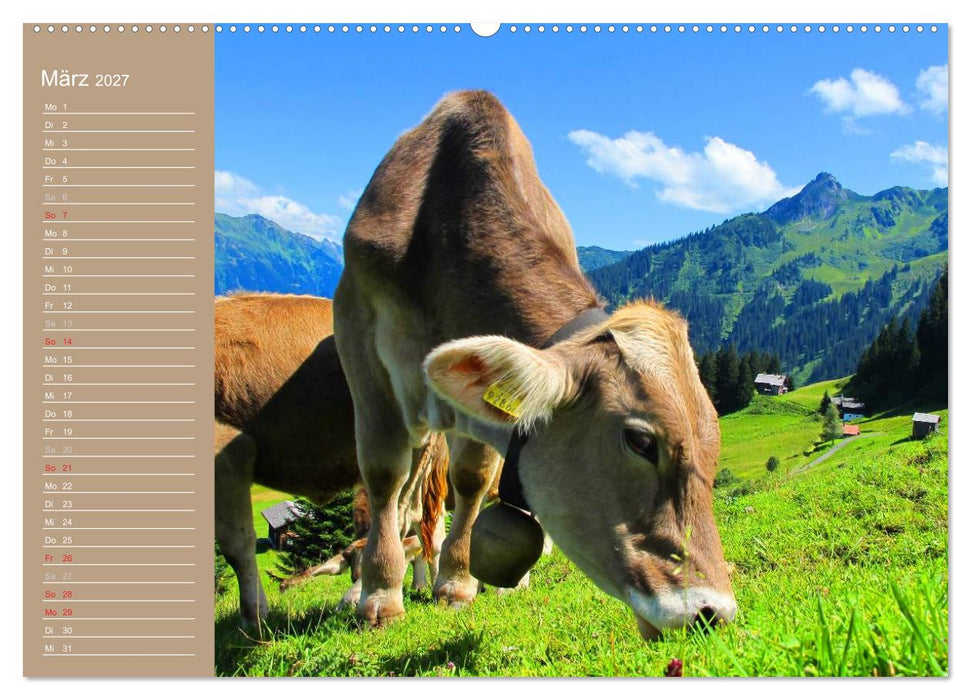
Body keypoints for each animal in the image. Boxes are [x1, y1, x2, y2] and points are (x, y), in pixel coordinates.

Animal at [333, 90, 736, 640]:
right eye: (640, 441)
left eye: (713, 447)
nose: (712, 612)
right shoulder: (359, 335)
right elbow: (382, 472)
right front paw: (378, 594)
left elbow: (473, 479)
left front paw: (456, 582)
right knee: (403, 493)